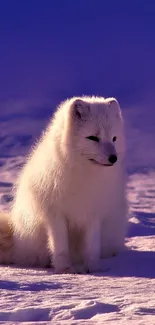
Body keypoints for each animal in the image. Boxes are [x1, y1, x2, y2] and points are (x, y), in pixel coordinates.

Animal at [0, 95, 127, 270]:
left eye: (114, 138)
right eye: (93, 138)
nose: (113, 158)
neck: (83, 175)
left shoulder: (93, 213)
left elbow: (92, 247)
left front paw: (94, 269)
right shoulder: (55, 214)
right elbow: (60, 246)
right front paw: (65, 269)